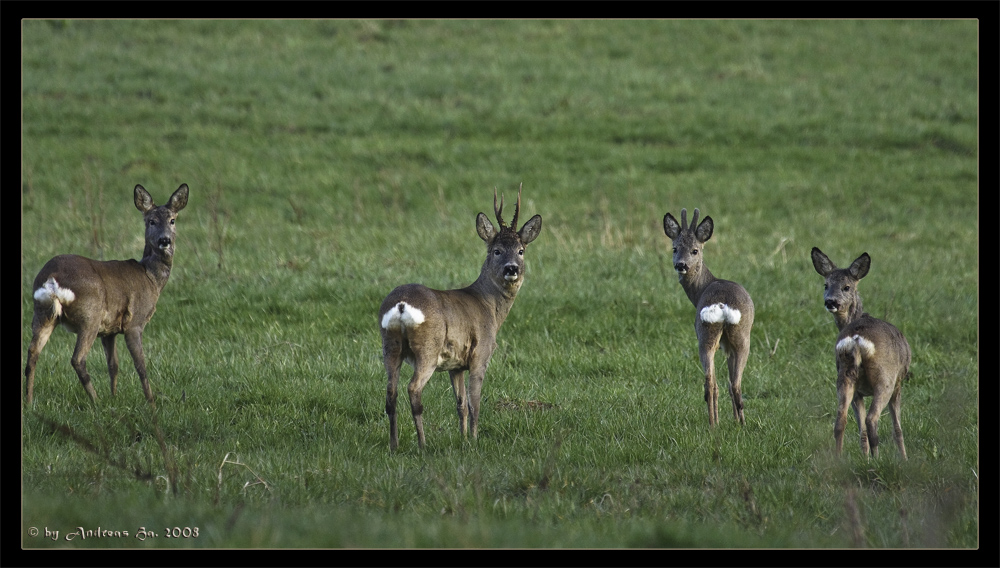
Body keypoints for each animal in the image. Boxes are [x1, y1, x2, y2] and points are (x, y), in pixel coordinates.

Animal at [23, 183, 189, 404]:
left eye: (172, 220)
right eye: (151, 221)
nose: (165, 240)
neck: (150, 278)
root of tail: (52, 278)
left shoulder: (109, 330)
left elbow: (113, 365)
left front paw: (114, 397)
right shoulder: (134, 322)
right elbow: (141, 366)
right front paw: (151, 402)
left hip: (42, 312)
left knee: (32, 354)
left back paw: (29, 402)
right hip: (90, 315)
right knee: (77, 359)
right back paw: (96, 402)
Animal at [378, 184, 544, 450]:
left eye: (521, 250)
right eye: (496, 251)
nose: (512, 268)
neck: (488, 306)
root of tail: (401, 305)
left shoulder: (455, 365)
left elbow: (461, 404)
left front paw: (463, 439)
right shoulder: (481, 354)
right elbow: (474, 403)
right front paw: (475, 441)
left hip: (390, 345)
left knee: (390, 392)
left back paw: (394, 446)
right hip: (428, 347)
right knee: (413, 388)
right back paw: (423, 445)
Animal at [660, 209, 752, 426]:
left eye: (695, 250)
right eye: (675, 248)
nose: (681, 264)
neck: (701, 288)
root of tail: (722, 305)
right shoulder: (727, 346)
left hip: (714, 334)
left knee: (721, 383)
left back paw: (720, 423)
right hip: (734, 336)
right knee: (727, 384)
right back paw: (725, 424)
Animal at [808, 248, 912, 462]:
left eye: (846, 287)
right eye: (826, 284)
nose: (830, 301)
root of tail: (856, 340)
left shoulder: (860, 392)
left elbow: (859, 427)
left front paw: (864, 458)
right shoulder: (899, 381)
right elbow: (897, 427)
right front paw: (904, 459)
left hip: (845, 376)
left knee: (841, 420)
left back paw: (840, 459)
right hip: (885, 378)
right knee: (872, 419)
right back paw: (877, 459)